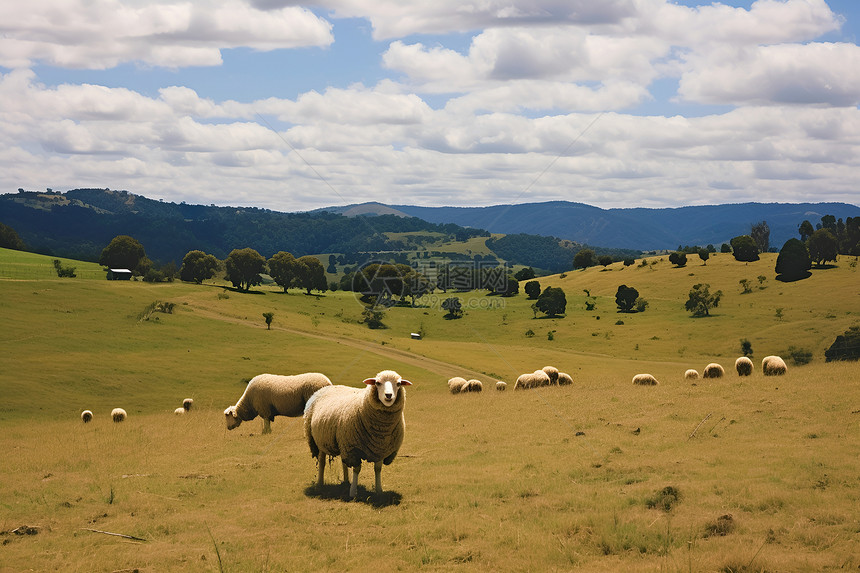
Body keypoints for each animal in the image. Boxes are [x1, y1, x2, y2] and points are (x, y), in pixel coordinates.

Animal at [302, 368, 410, 498]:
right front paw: (353, 492)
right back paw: (319, 484)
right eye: (377, 383)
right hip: (320, 440)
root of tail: (326, 388)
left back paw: (346, 481)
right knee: (322, 462)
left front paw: (379, 490)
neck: (380, 430)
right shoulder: (353, 449)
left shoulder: (379, 449)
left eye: (398, 384)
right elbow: (357, 469)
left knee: (343, 462)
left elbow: (377, 469)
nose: (388, 395)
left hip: (342, 442)